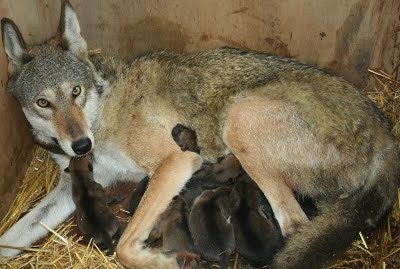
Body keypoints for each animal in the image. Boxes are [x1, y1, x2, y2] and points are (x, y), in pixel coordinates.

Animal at [0, 1, 400, 266]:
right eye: (43, 103)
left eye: (75, 92)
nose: (80, 145)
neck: (101, 108)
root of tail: (385, 130)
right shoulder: (74, 185)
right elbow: (9, 240)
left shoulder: (176, 160)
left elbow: (125, 248)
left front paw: (163, 260)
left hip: (241, 119)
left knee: (295, 225)